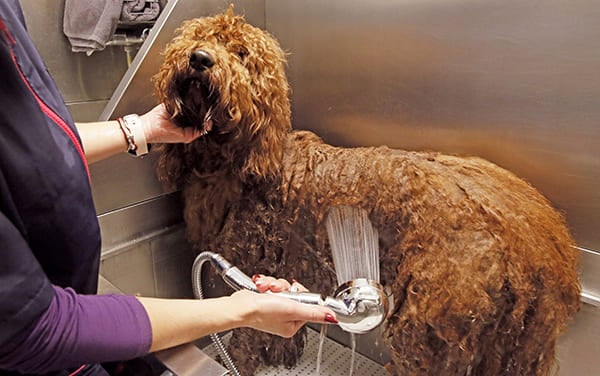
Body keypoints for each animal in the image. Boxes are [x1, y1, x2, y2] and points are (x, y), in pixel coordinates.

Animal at [154, 6, 580, 376]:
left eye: (241, 54)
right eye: (201, 36)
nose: (200, 58)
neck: (241, 160)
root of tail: (538, 242)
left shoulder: (248, 258)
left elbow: (246, 332)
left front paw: (237, 362)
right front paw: (283, 351)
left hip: (433, 329)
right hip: (502, 344)